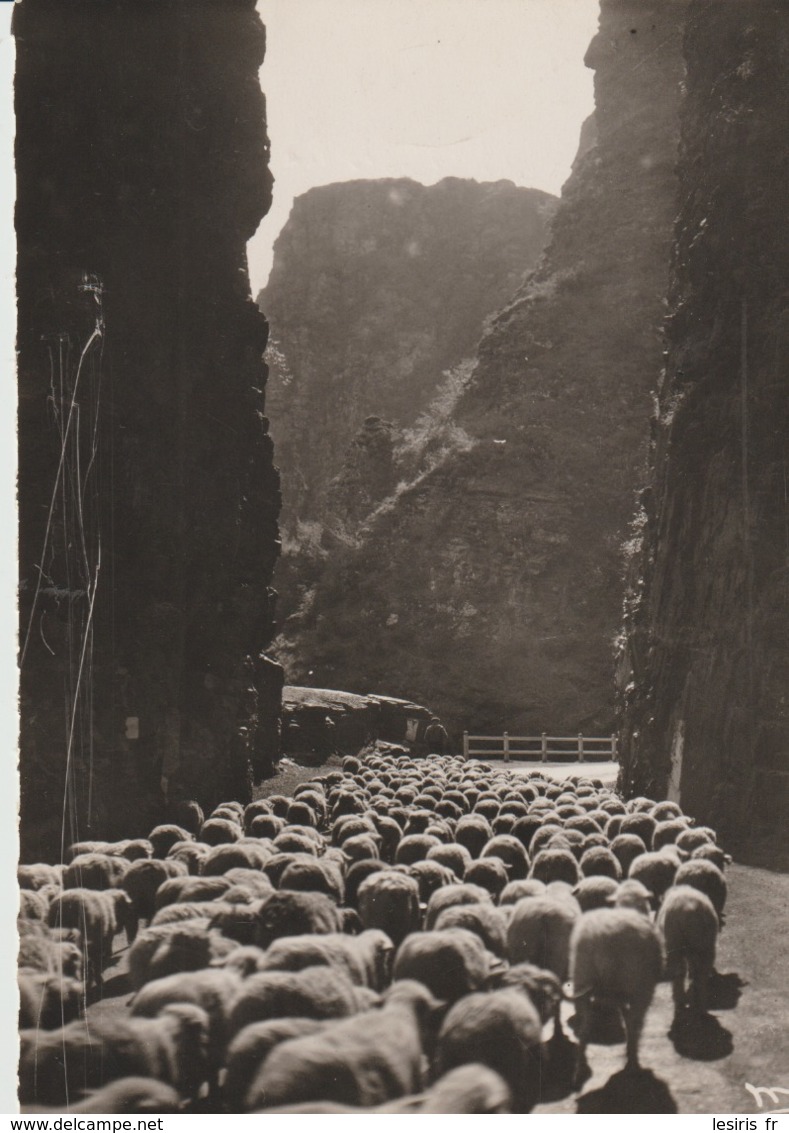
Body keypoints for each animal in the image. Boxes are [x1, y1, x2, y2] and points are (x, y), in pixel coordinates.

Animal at [569, 906, 662, 1083]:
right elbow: (633, 1022)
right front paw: (631, 1054)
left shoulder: (618, 997)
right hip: (639, 987)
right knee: (634, 1022)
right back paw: (632, 1065)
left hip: (582, 979)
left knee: (585, 1025)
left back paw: (580, 1069)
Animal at [657, 883, 716, 1019]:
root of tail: (692, 910)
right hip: (706, 945)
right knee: (701, 974)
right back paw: (700, 1007)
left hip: (676, 942)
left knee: (678, 972)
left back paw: (680, 1003)